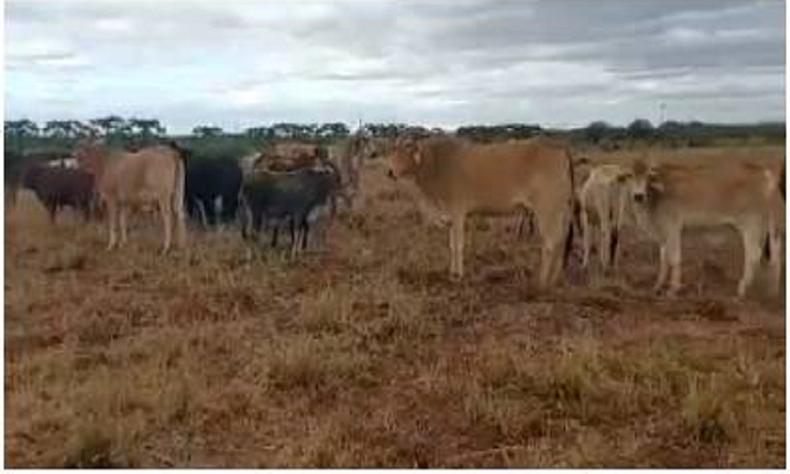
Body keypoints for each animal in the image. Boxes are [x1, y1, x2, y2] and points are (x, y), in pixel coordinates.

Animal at [386, 134, 576, 288]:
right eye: (393, 151)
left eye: (406, 151)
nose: (390, 172)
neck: (436, 163)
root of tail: (557, 146)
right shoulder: (451, 218)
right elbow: (451, 245)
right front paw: (452, 273)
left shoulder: (457, 213)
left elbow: (457, 246)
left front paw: (458, 276)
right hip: (560, 210)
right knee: (561, 241)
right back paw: (555, 279)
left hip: (547, 209)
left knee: (551, 242)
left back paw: (542, 282)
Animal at [624, 161, 784, 298]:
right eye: (630, 175)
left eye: (648, 176)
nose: (638, 196)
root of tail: (763, 172)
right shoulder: (663, 235)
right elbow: (664, 260)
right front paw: (657, 286)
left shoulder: (673, 228)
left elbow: (674, 258)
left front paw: (673, 289)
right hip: (768, 228)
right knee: (775, 255)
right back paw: (772, 292)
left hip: (751, 226)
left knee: (754, 255)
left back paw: (742, 289)